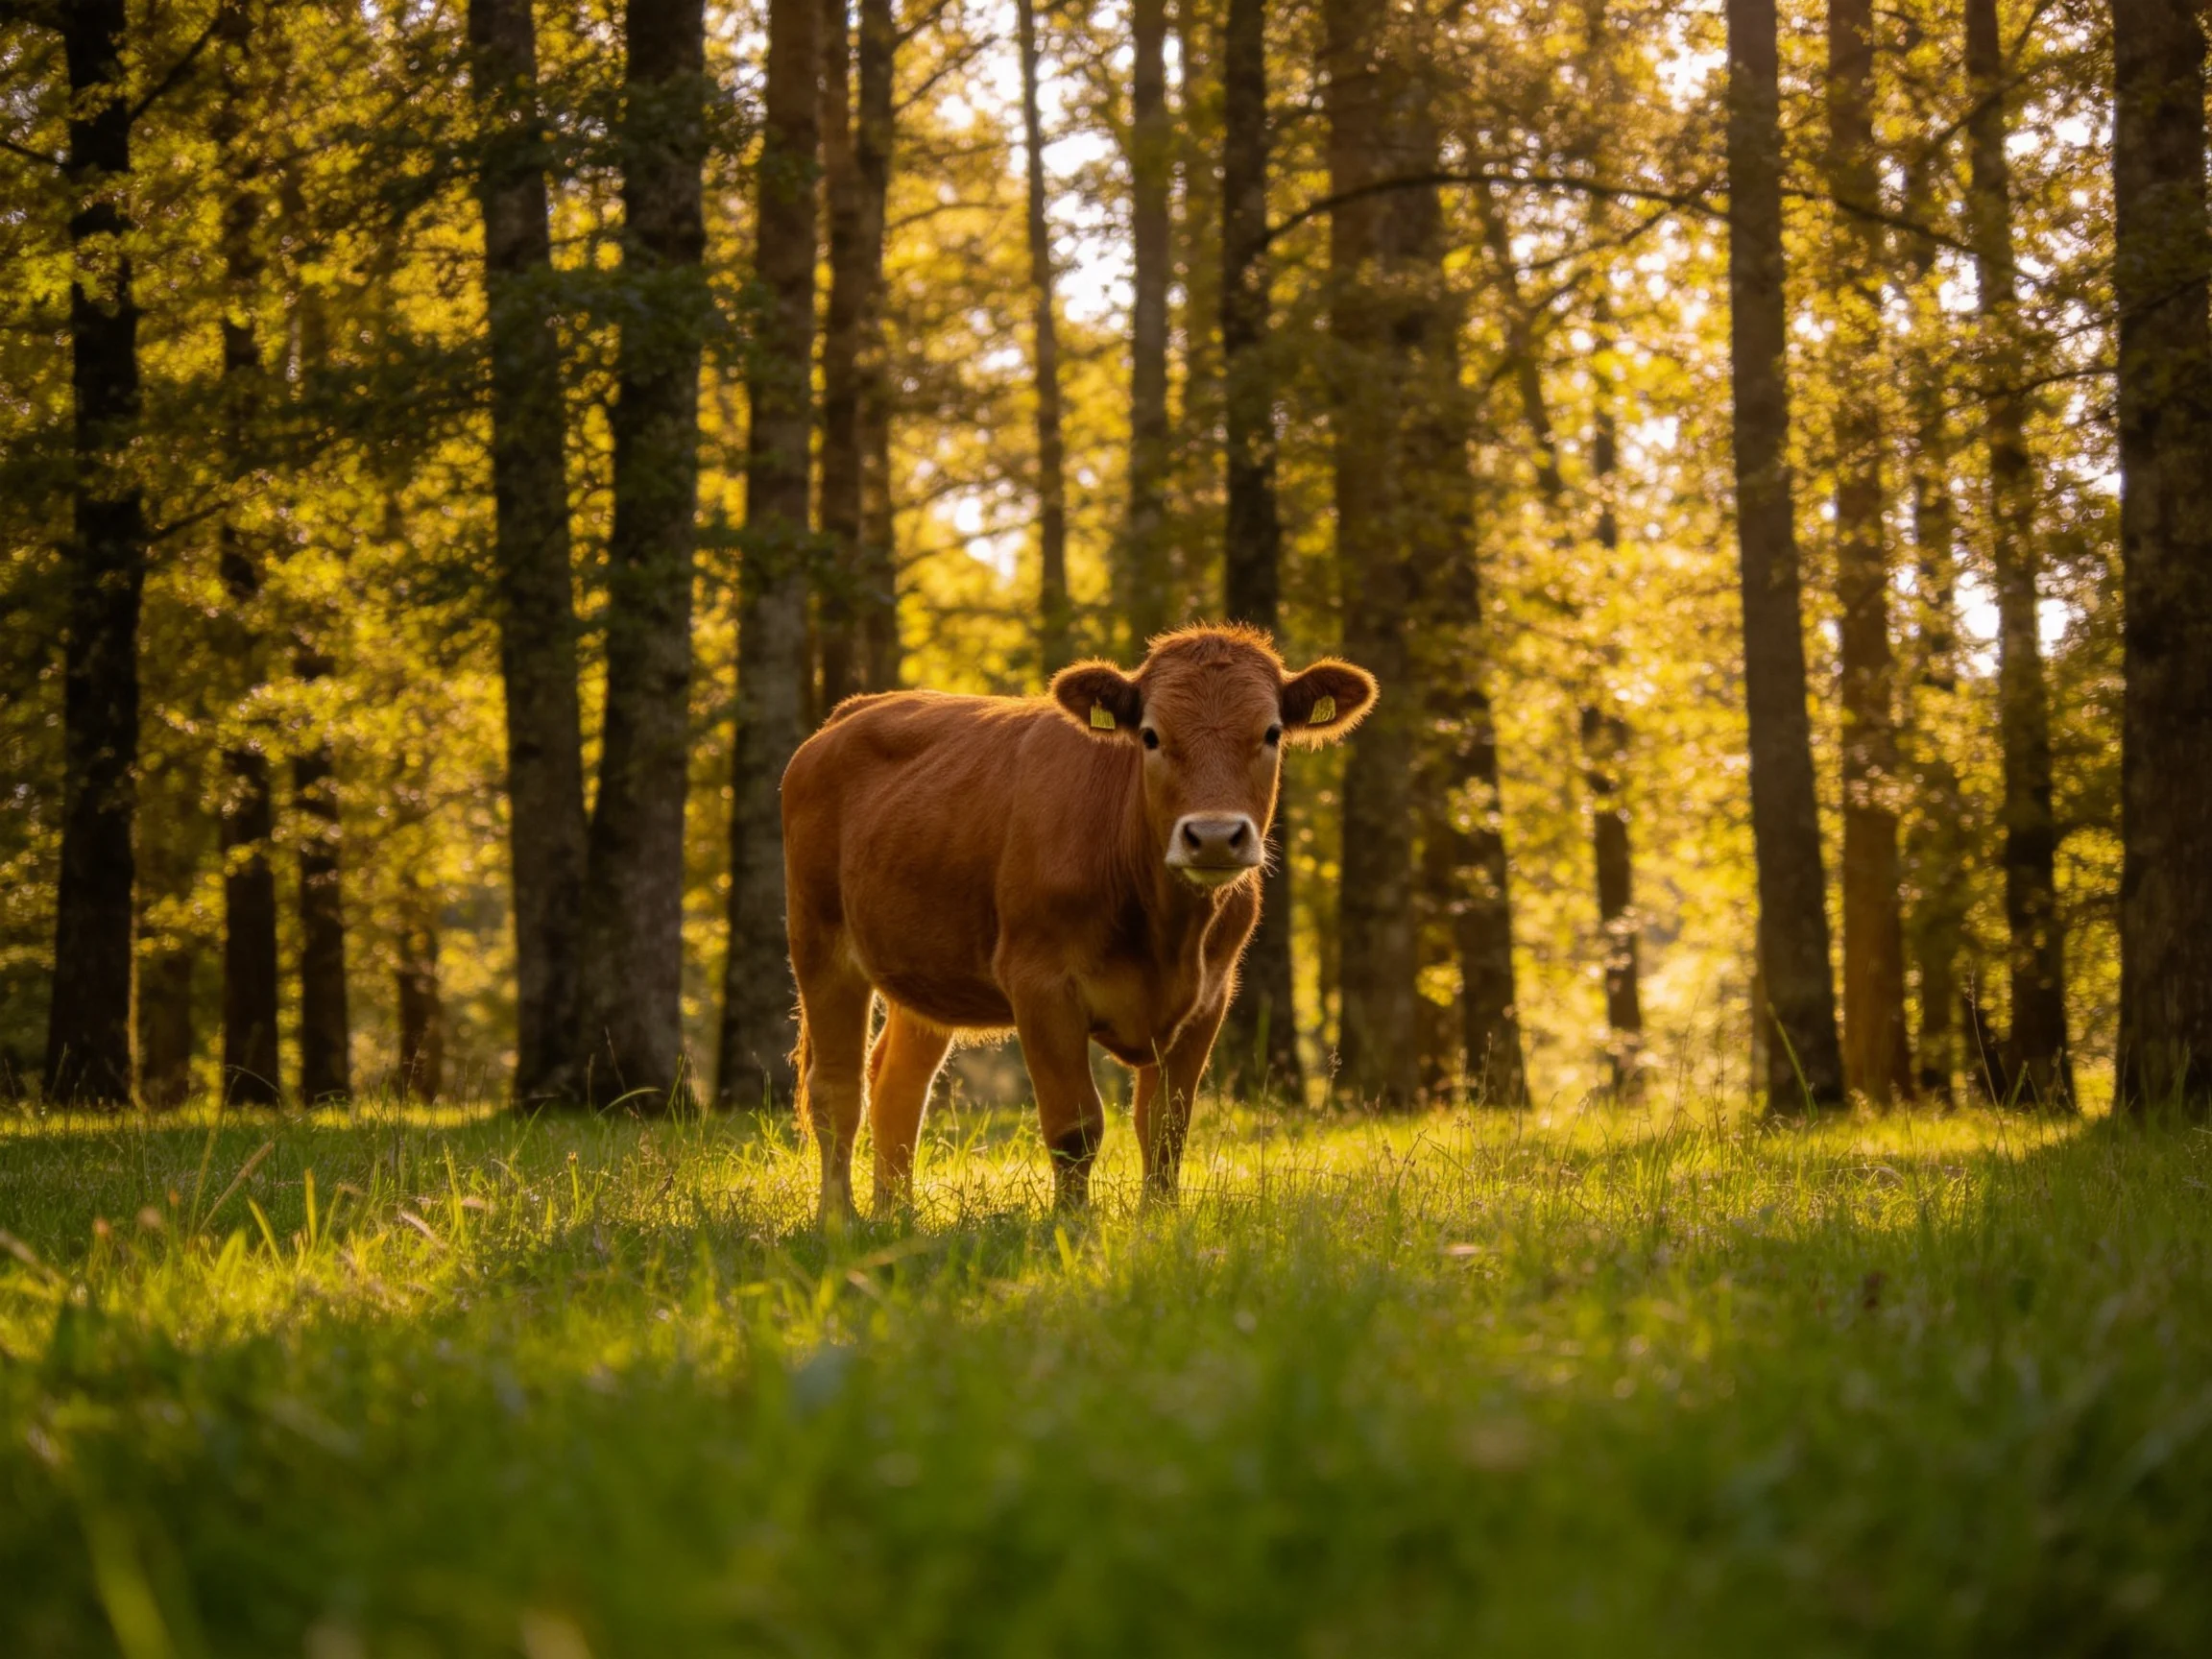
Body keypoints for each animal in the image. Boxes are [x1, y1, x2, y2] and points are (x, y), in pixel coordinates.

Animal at [780, 623, 1378, 1224]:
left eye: (1272, 733)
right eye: (1151, 736)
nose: (1212, 836)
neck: (1166, 934)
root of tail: (855, 711)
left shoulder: (1210, 996)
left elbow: (1166, 1125)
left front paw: (1157, 1221)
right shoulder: (1042, 985)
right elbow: (1076, 1125)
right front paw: (1072, 1225)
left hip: (922, 971)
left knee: (898, 1085)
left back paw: (895, 1215)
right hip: (819, 941)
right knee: (836, 1088)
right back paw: (840, 1220)